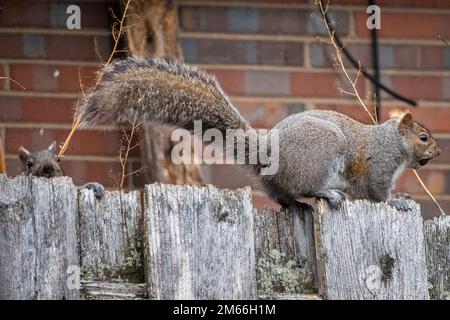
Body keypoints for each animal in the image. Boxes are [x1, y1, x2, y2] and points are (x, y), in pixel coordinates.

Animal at [77, 57, 440, 210]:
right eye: (423, 137)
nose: (437, 153)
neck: (392, 141)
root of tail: (268, 152)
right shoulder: (379, 166)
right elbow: (378, 194)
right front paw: (399, 201)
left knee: (283, 194)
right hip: (322, 153)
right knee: (307, 186)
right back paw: (327, 194)